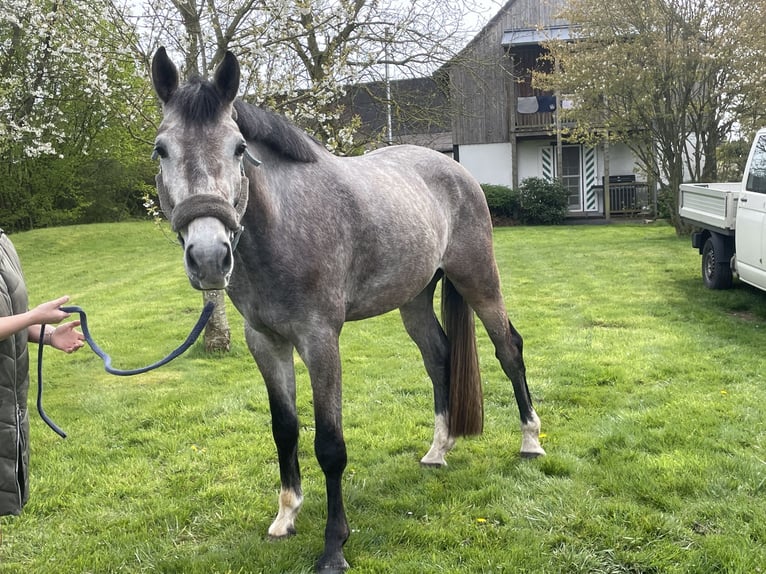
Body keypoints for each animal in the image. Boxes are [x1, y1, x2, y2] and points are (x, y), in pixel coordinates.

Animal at [150, 47, 545, 572]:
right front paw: (286, 516)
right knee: (439, 357)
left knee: (509, 349)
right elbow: (284, 429)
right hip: (413, 301)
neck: (284, 225)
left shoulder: (320, 341)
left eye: (238, 148)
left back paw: (530, 441)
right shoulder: (265, 342)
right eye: (161, 149)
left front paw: (334, 545)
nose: (210, 256)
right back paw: (438, 450)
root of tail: (459, 173)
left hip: (480, 280)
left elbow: (330, 445)